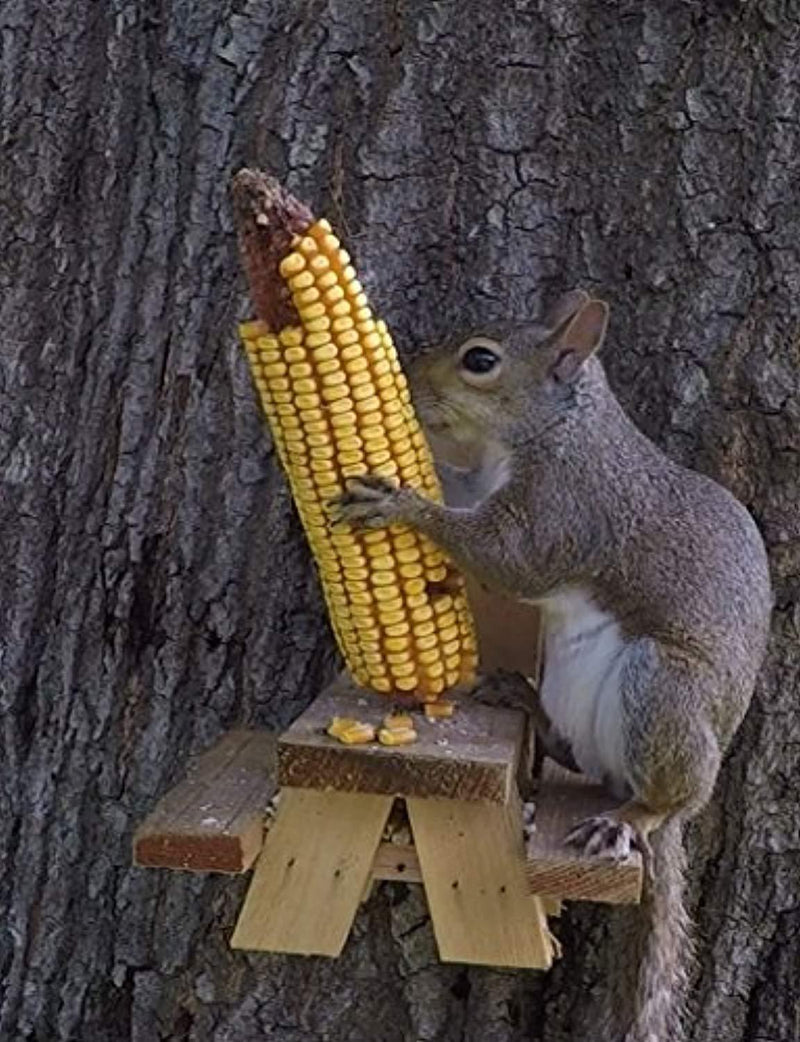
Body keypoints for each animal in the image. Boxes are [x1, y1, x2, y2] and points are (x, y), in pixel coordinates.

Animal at [333, 291, 770, 1042]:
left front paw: (402, 503)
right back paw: (523, 700)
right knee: (578, 754)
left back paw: (633, 817)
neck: (555, 431)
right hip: (575, 687)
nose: (409, 376)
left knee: (667, 795)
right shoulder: (485, 480)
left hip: (664, 688)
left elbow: (508, 560)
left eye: (480, 360)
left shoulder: (566, 510)